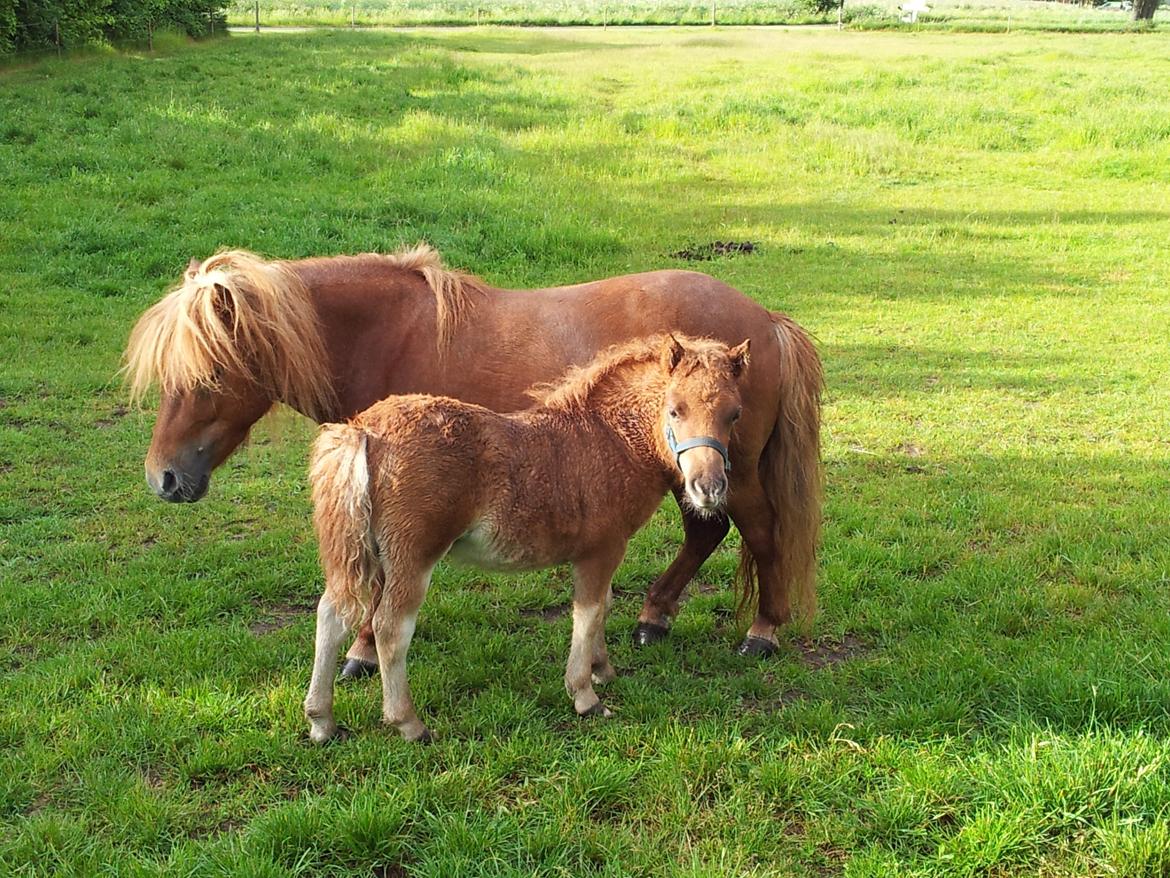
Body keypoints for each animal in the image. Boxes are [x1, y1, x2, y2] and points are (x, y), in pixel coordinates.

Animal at [125, 244, 823, 655]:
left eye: (208, 375)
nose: (163, 478)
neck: (384, 335)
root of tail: (764, 322)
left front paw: (362, 653)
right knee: (707, 532)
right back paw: (654, 617)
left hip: (731, 472)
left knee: (760, 533)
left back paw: (763, 632)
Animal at [304, 337, 748, 744]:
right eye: (675, 409)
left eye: (734, 414)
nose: (708, 488)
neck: (609, 437)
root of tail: (364, 430)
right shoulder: (602, 550)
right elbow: (587, 615)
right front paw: (585, 696)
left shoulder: (600, 554)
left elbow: (602, 607)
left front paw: (602, 671)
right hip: (411, 556)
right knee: (390, 628)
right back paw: (409, 723)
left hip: (364, 553)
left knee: (331, 613)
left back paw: (322, 722)